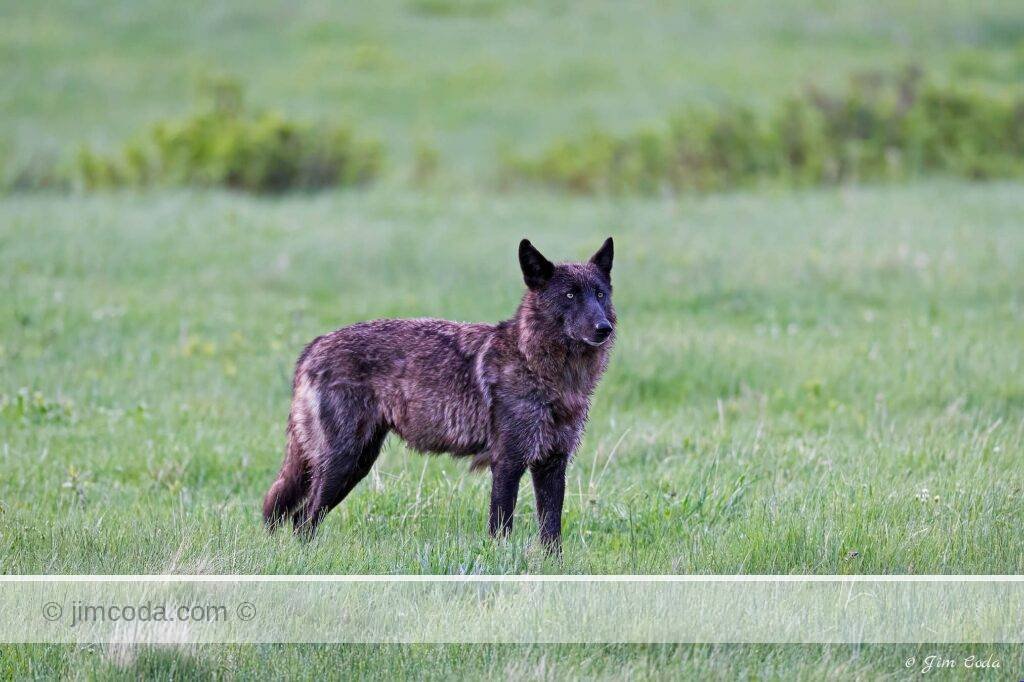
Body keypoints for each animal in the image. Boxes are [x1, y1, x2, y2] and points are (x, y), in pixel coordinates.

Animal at [262, 237, 616, 550]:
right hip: (342, 464)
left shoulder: (552, 464)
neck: (537, 365)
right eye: (570, 295)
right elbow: (501, 527)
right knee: (302, 519)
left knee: (297, 518)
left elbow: (552, 534)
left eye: (599, 294)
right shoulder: (508, 463)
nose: (604, 328)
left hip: (355, 464)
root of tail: (313, 346)